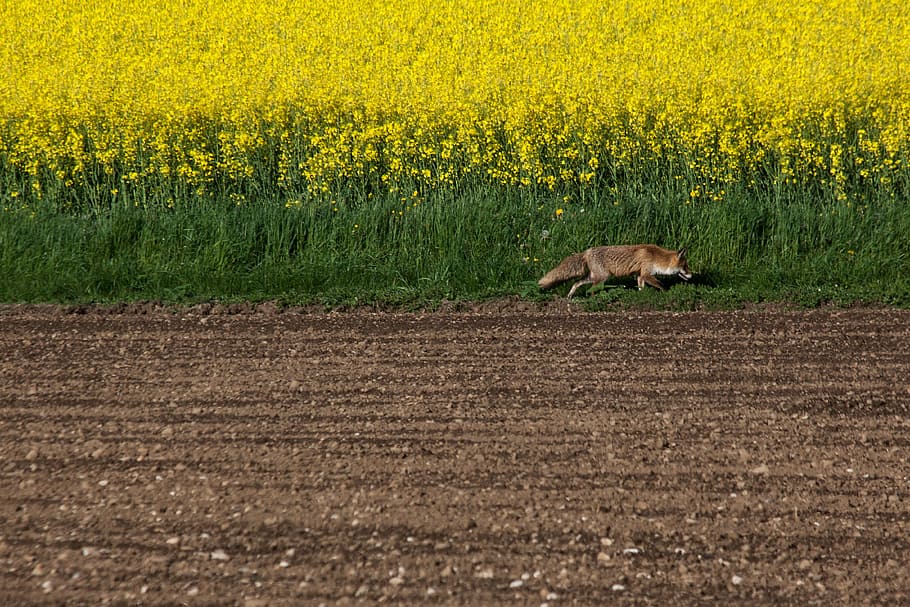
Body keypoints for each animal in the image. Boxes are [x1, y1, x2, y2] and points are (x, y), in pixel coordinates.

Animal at [539, 244, 692, 298]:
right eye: (685, 266)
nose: (691, 274)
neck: (656, 257)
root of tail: (587, 252)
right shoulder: (646, 273)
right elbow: (661, 285)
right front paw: (668, 293)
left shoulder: (640, 275)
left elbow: (641, 288)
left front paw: (640, 296)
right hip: (602, 277)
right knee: (591, 290)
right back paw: (595, 300)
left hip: (594, 276)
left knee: (576, 283)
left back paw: (570, 296)